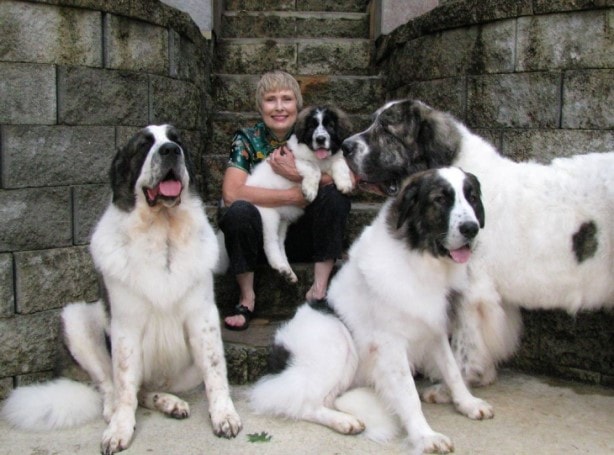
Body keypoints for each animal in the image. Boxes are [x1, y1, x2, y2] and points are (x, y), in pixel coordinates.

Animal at [2, 125, 243, 455]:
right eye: (143, 145)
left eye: (176, 140)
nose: (170, 150)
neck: (162, 230)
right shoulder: (126, 326)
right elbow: (126, 379)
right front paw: (120, 428)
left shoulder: (203, 318)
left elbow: (215, 371)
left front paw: (224, 415)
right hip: (75, 318)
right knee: (111, 385)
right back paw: (116, 409)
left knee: (146, 389)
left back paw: (169, 402)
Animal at [248, 168, 494, 455]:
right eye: (440, 199)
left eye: (472, 197)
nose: (471, 228)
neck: (419, 258)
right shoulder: (391, 345)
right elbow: (409, 394)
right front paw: (425, 436)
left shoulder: (433, 329)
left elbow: (452, 370)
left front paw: (468, 404)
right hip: (336, 339)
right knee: (304, 403)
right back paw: (344, 421)